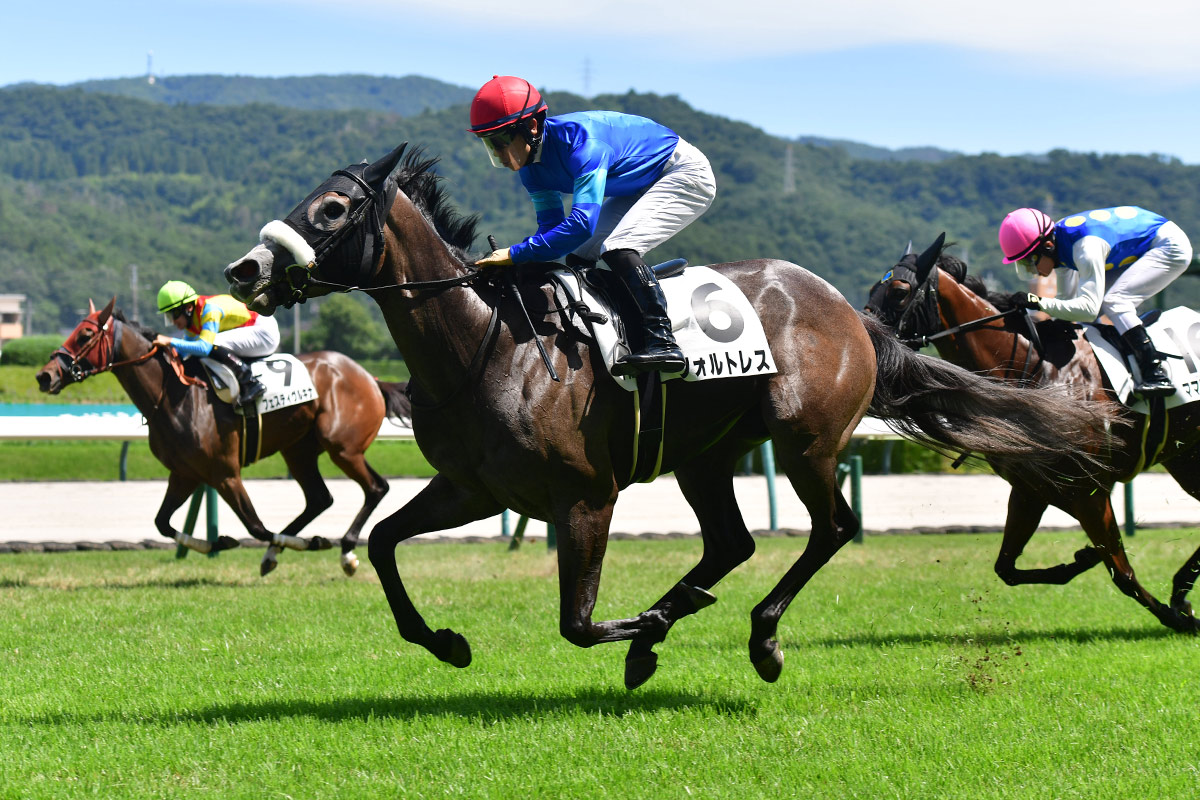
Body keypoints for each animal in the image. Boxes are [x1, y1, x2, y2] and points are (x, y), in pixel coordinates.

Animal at [36, 298, 410, 577]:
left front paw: (311, 543)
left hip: (342, 448)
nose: (45, 376)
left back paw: (345, 551)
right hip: (298, 451)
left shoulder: (225, 472)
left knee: (375, 487)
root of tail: (370, 377)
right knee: (320, 498)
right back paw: (280, 552)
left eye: (85, 334)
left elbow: (256, 526)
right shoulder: (184, 474)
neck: (173, 395)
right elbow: (162, 523)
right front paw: (218, 543)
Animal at [223, 143, 1117, 688]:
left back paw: (756, 635)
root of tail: (851, 312)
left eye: (332, 210)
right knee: (733, 542)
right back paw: (680, 616)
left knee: (829, 528)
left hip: (805, 440)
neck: (491, 344)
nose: (245, 269)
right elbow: (381, 543)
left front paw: (647, 629)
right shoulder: (475, 488)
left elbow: (579, 623)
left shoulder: (586, 495)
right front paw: (446, 641)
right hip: (705, 455)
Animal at [864, 234, 1200, 633]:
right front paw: (1083, 558)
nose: (862, 335)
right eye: (873, 288)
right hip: (1185, 457)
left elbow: (1122, 573)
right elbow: (1006, 568)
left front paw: (1176, 616)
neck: (1037, 371)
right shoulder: (1030, 489)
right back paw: (1180, 588)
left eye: (900, 291)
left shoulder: (1088, 491)